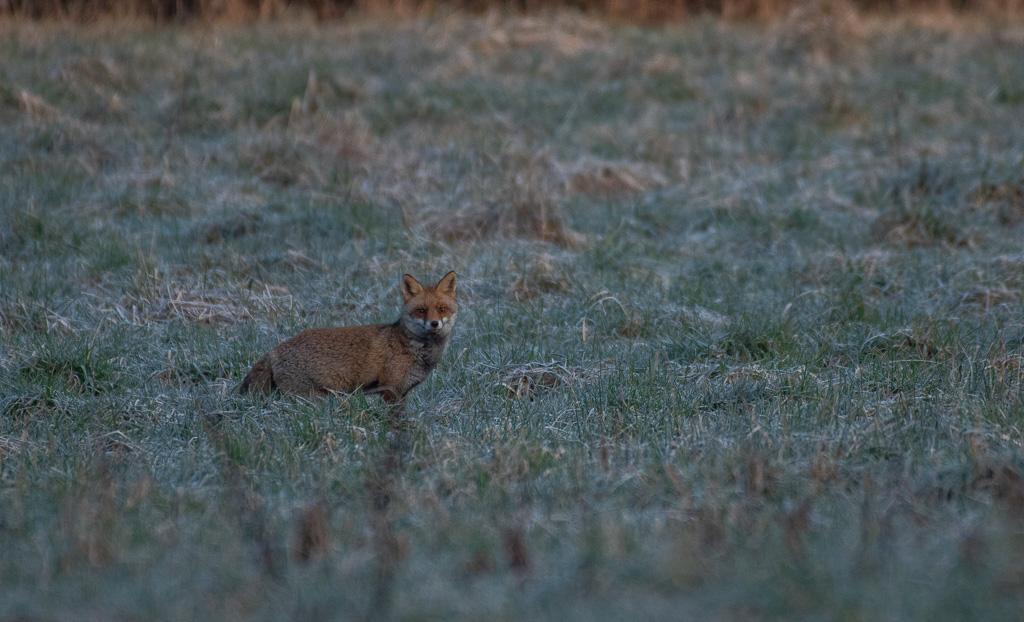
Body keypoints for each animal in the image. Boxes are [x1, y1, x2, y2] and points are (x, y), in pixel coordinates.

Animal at [240, 271, 457, 406]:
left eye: (442, 309)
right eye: (421, 311)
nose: (434, 324)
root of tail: (273, 351)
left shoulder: (402, 392)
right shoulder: (390, 389)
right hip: (314, 398)